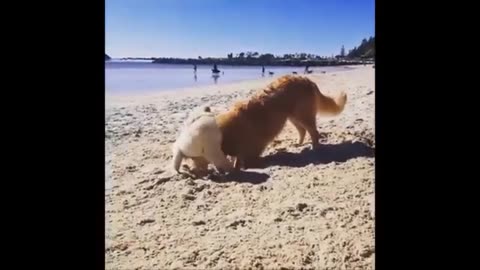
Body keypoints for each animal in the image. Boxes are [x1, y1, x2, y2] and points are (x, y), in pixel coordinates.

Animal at [216, 75, 346, 170]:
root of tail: (307, 80)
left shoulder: (253, 144)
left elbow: (247, 155)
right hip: (293, 117)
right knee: (303, 130)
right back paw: (298, 144)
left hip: (303, 116)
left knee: (314, 132)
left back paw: (315, 147)